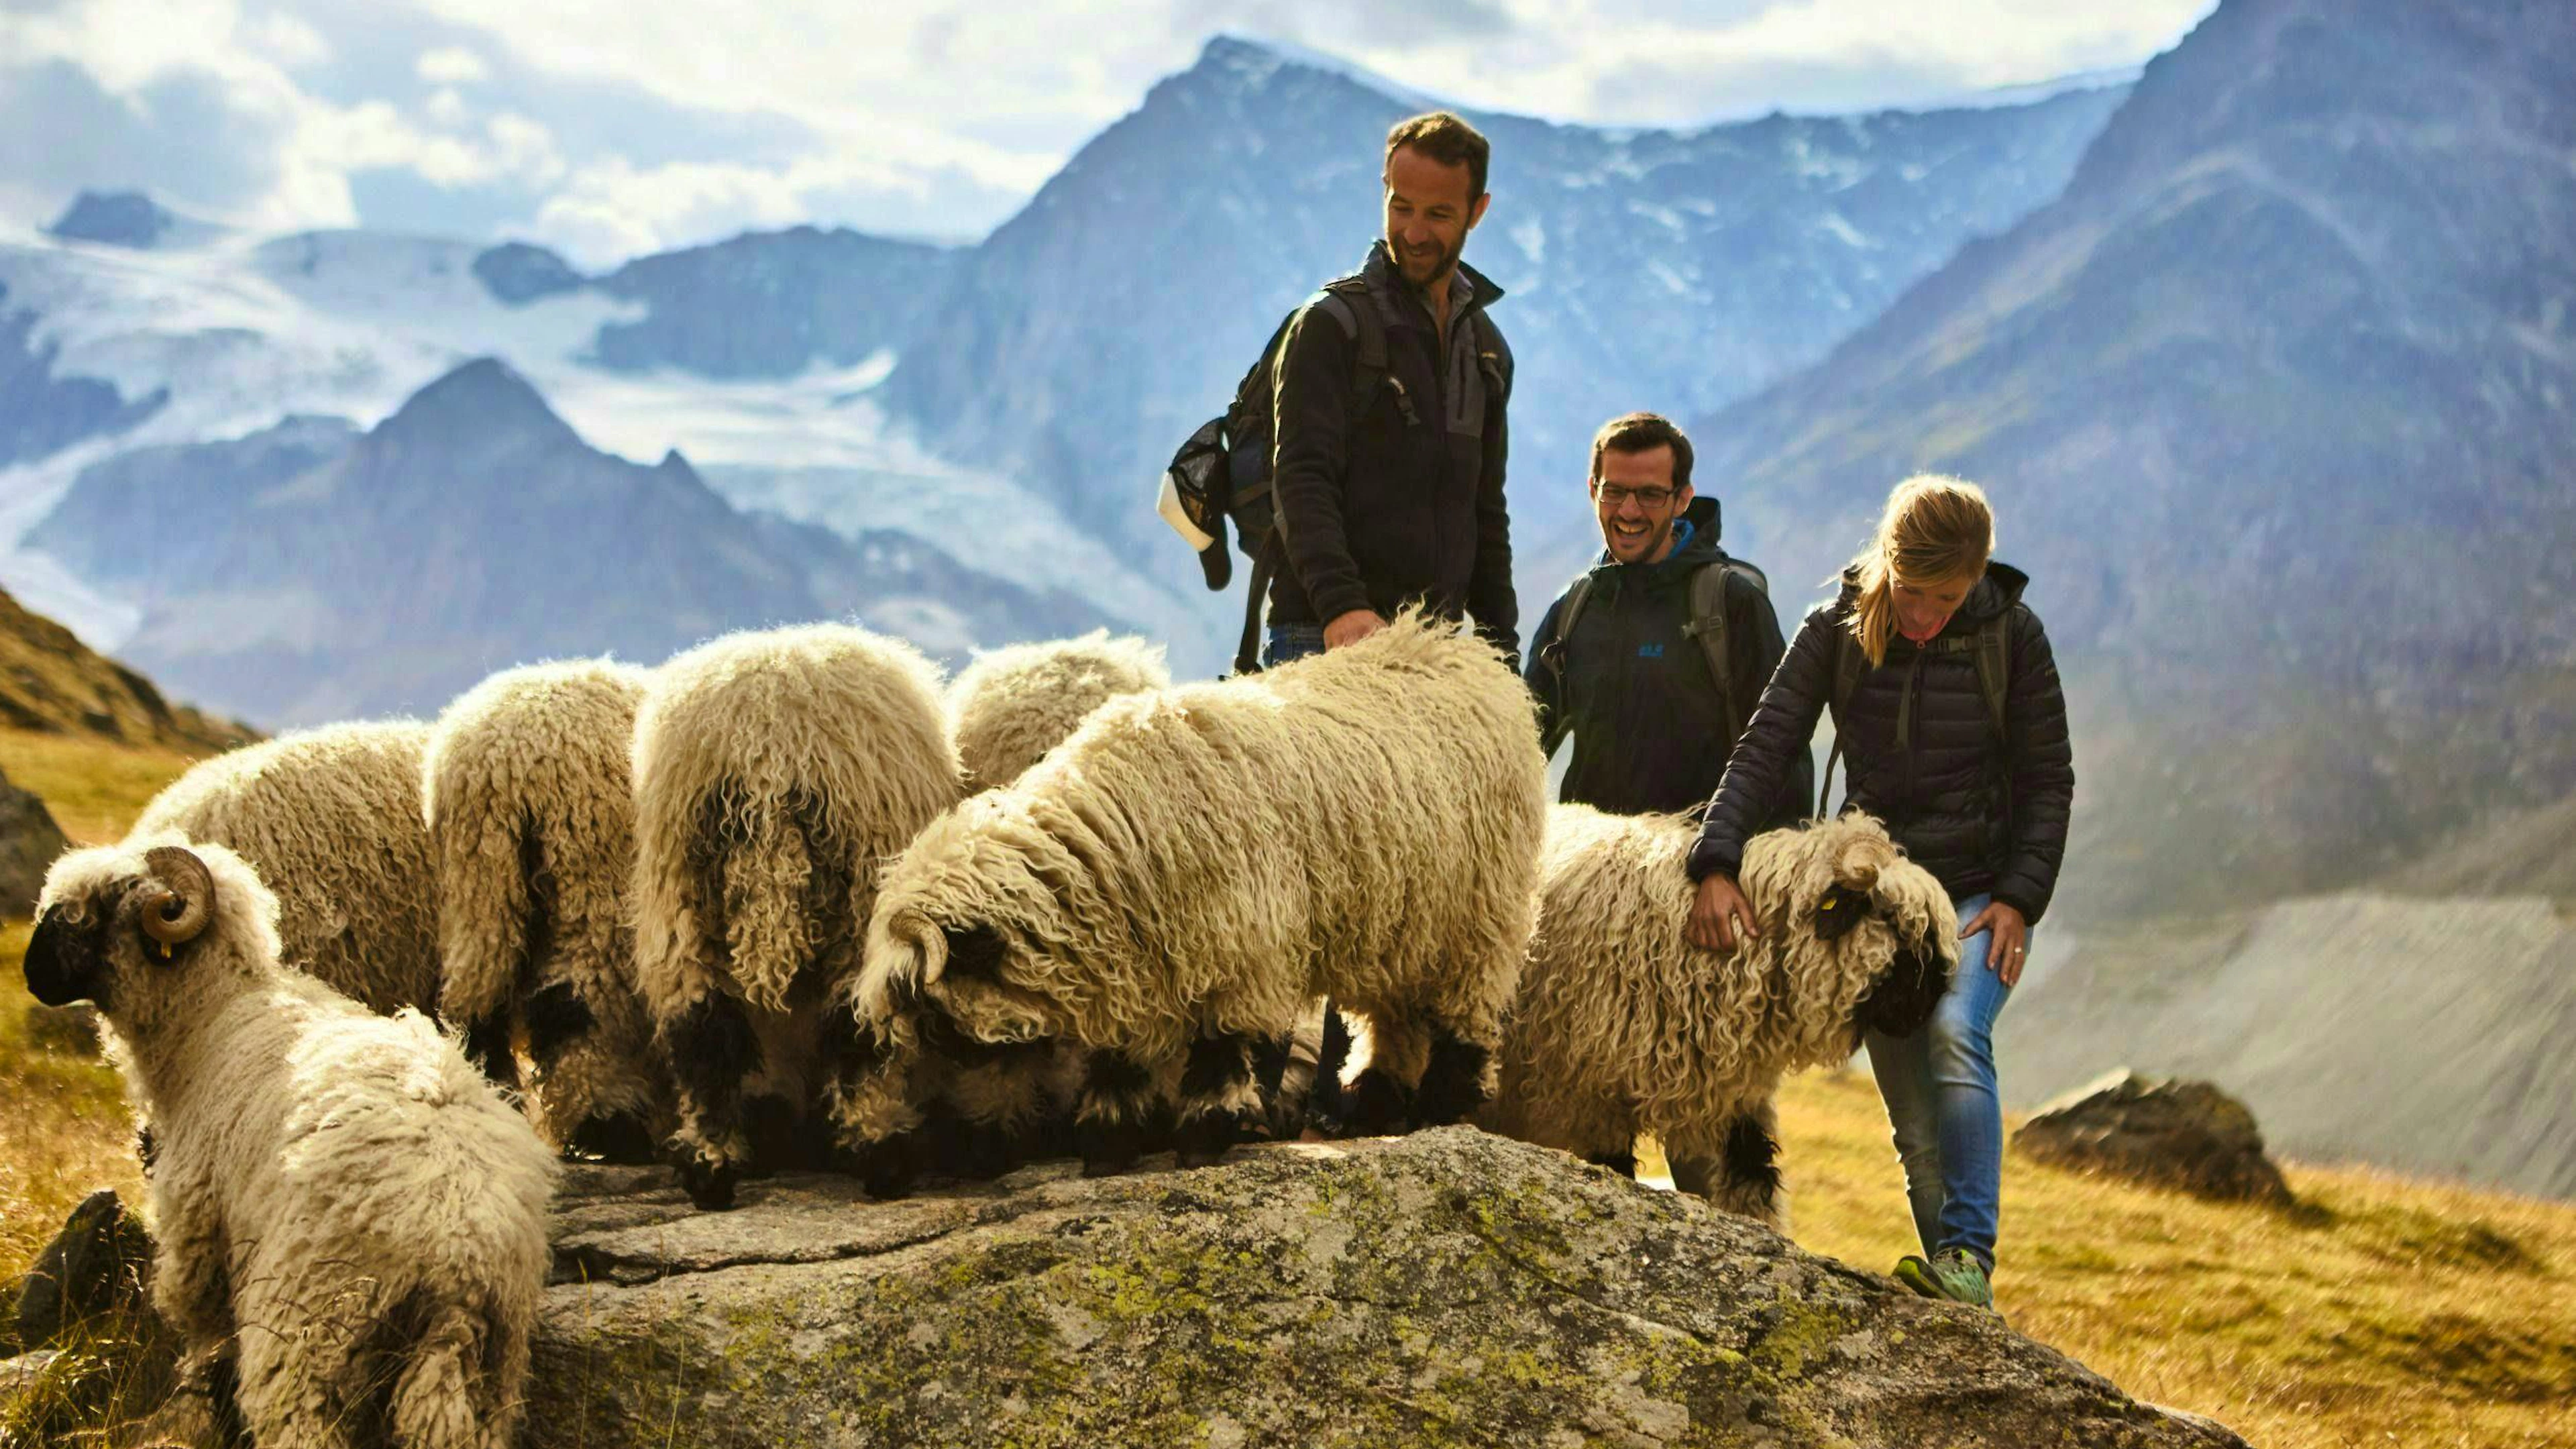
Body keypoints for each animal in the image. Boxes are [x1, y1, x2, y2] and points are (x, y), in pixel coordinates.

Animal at [23, 838, 556, 1449]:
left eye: (94, 912)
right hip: (489, 1361)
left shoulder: (199, 1229)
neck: (210, 1015)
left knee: (295, 1415)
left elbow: (208, 1335)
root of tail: (456, 1252)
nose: (31, 974)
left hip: (310, 1318)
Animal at [423, 659, 667, 1163]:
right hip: (590, 874)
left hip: (480, 884)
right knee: (577, 1001)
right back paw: (611, 1127)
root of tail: (498, 760)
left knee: (477, 1005)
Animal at [631, 622, 961, 1210]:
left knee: (701, 1028)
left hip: (679, 895)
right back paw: (881, 1155)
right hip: (863, 891)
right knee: (857, 1027)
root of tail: (768, 745)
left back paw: (710, 1168)